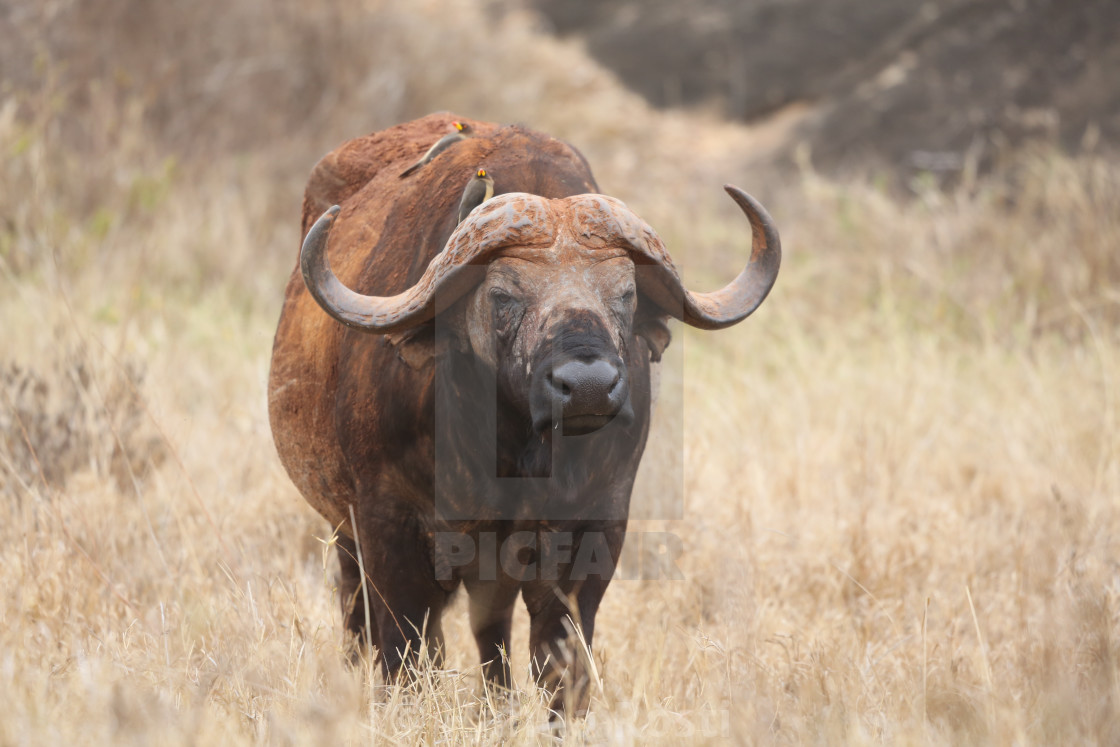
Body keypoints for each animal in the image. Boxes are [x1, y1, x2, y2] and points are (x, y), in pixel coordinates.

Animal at [269, 114, 779, 712]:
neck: (510, 455)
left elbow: (560, 667)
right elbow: (401, 656)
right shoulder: (385, 526)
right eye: (503, 295)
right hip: (344, 533)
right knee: (363, 623)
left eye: (625, 294)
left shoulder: (591, 537)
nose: (588, 387)